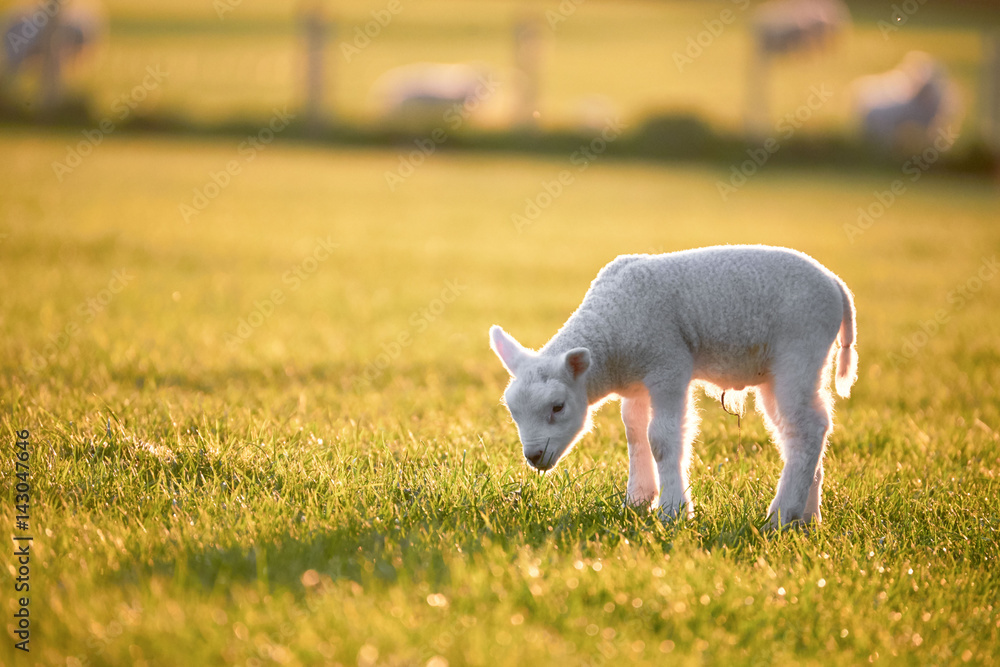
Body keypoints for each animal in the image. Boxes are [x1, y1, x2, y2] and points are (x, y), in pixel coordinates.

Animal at [489, 245, 858, 528]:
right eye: (513, 413)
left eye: (558, 407)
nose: (534, 456)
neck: (611, 333)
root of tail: (837, 285)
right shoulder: (636, 381)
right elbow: (634, 432)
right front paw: (638, 500)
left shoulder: (668, 365)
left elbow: (662, 439)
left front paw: (673, 512)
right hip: (789, 368)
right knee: (799, 430)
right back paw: (807, 518)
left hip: (800, 350)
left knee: (808, 428)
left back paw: (782, 515)